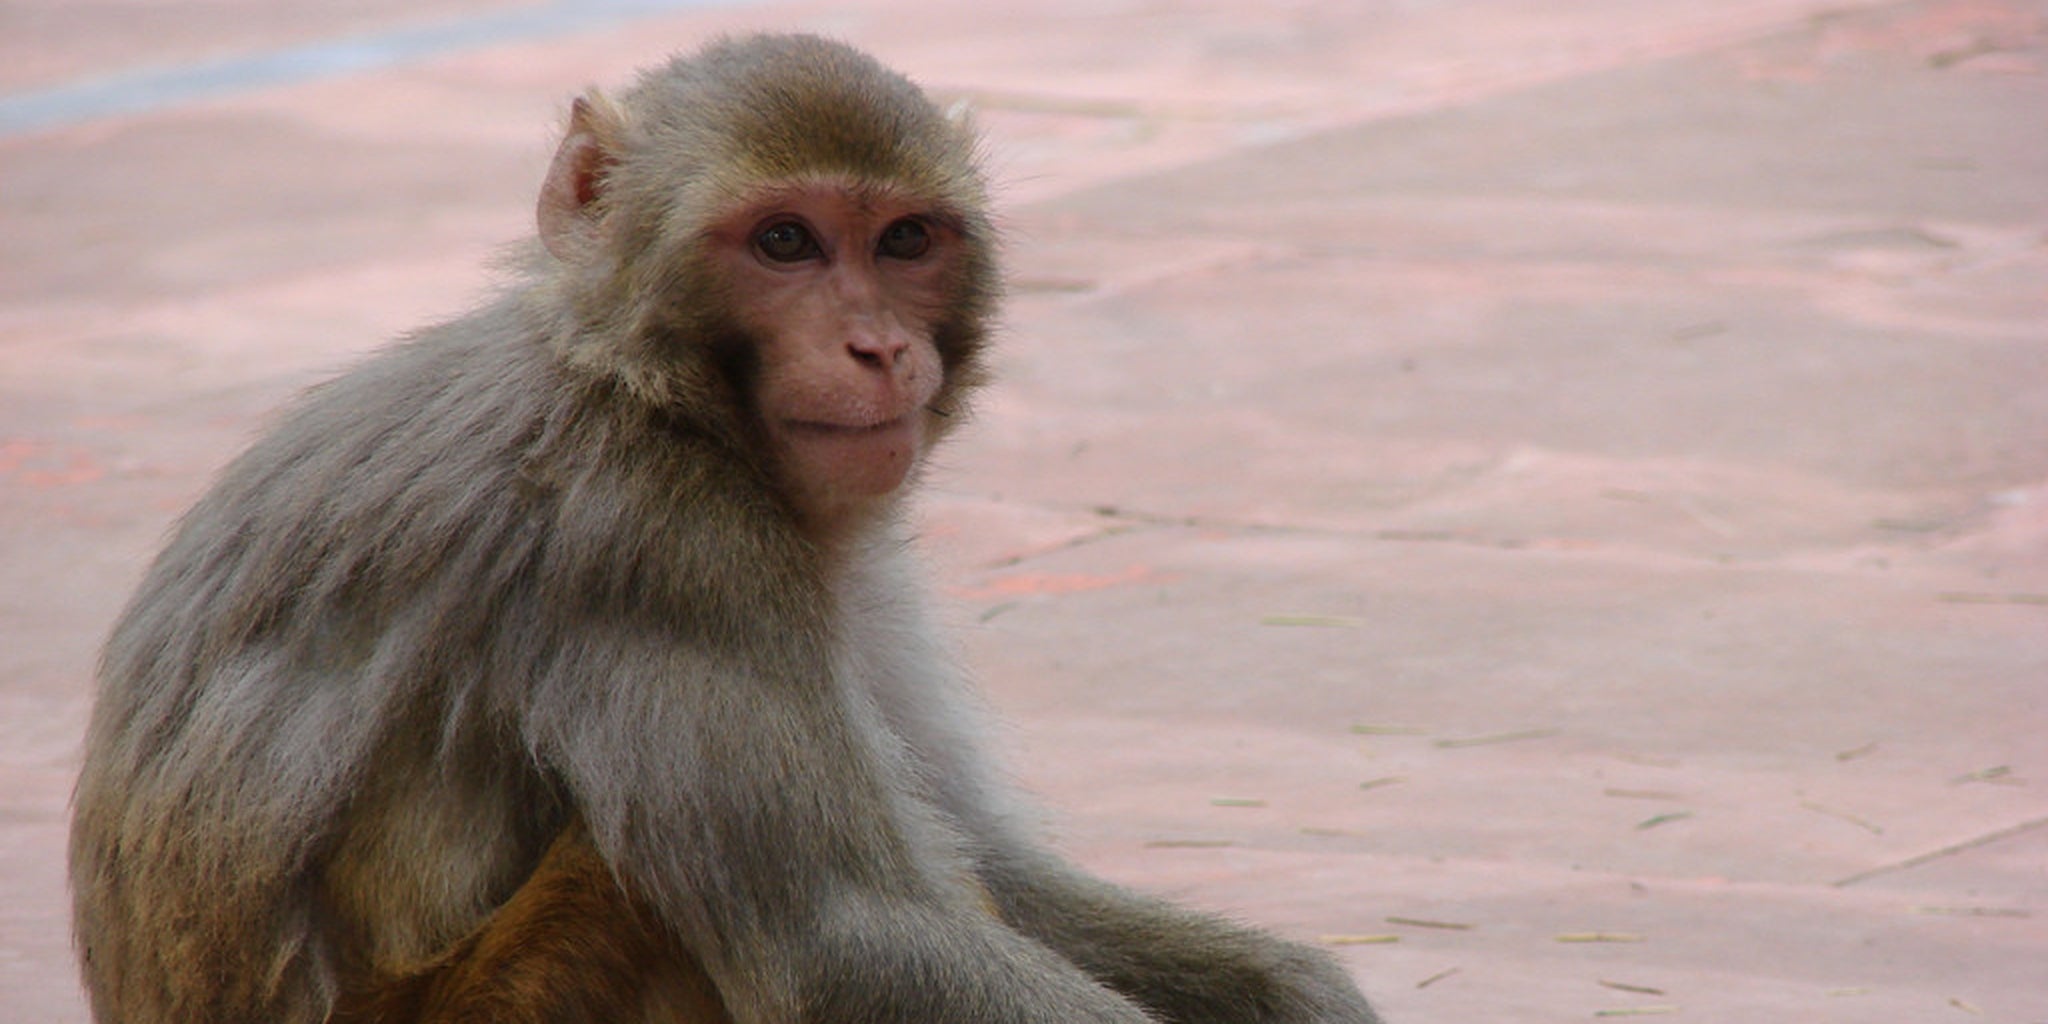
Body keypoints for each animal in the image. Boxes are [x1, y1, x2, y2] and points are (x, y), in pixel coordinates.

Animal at [68, 33, 1381, 1024]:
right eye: (784, 241)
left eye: (904, 240)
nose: (876, 347)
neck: (647, 390)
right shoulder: (663, 546)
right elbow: (842, 937)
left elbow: (981, 864)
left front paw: (1298, 989)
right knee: (630, 888)